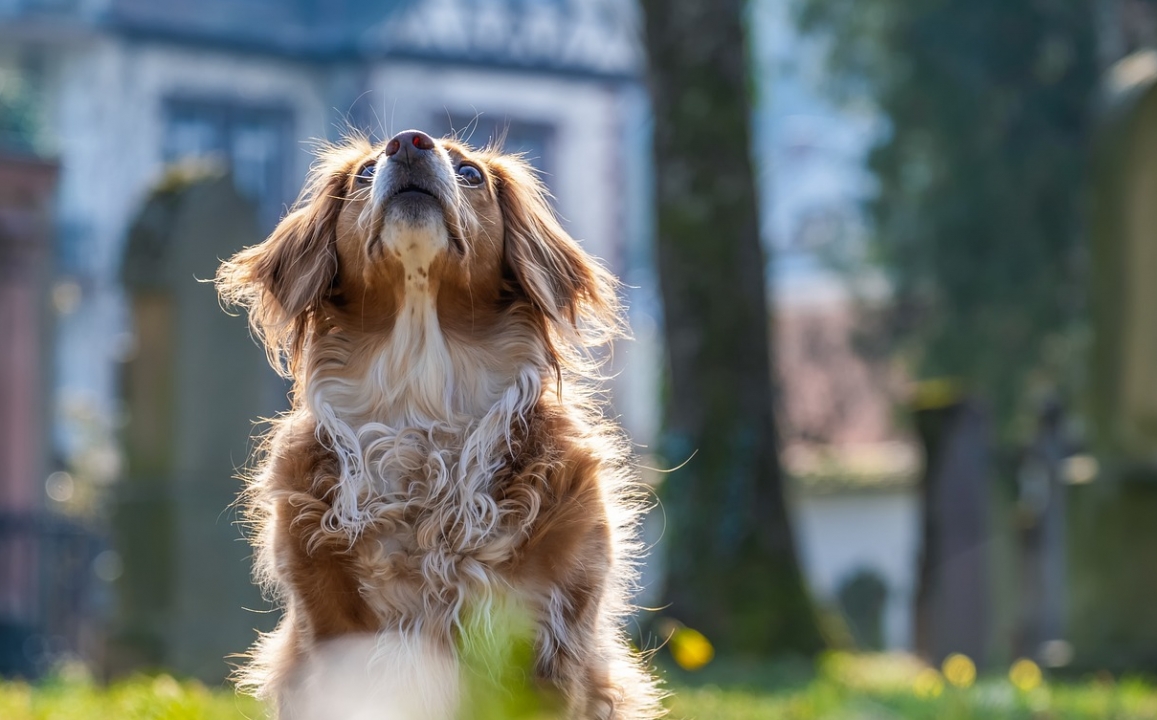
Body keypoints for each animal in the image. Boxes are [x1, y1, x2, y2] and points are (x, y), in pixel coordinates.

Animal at [215, 131, 661, 720]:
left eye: (471, 173)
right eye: (363, 174)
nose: (407, 142)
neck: (420, 400)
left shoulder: (549, 642)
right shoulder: (331, 641)